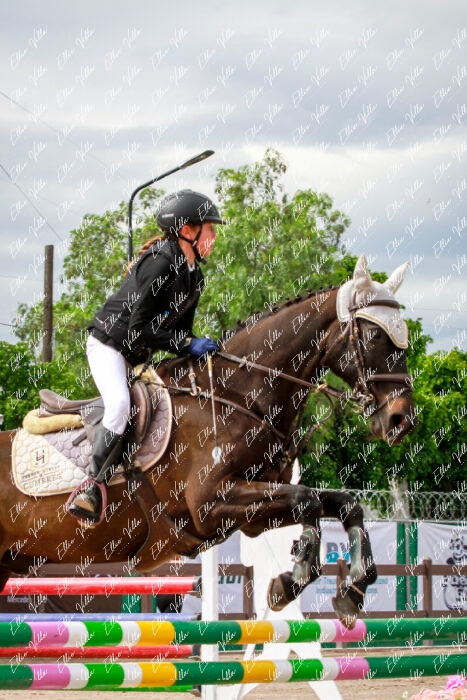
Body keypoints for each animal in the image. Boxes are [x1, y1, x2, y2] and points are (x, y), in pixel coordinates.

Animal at [0, 255, 416, 627]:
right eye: (375, 335)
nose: (402, 420)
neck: (239, 397)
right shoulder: (211, 503)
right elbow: (308, 499)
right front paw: (291, 579)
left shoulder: (250, 515)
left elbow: (343, 503)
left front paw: (352, 590)